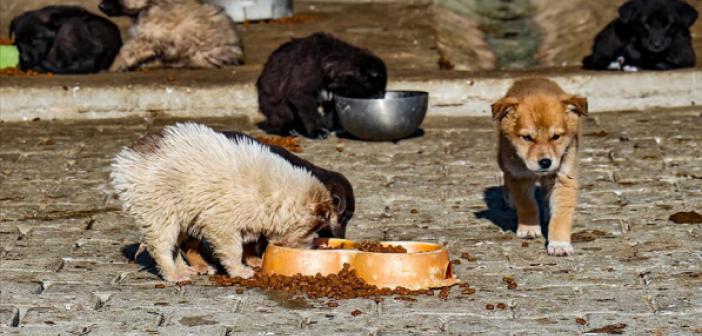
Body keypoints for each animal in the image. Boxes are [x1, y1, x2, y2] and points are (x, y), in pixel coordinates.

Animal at [97, 0, 243, 71]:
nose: (100, 6)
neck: (152, 4)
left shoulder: (150, 37)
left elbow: (126, 50)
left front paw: (114, 66)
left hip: (197, 53)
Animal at [112, 123, 338, 280]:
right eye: (311, 230)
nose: (309, 251)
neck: (275, 193)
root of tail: (125, 160)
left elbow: (249, 243)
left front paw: (253, 261)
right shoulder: (222, 224)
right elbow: (234, 249)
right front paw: (240, 270)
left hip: (181, 213)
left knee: (175, 245)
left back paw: (186, 269)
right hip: (160, 210)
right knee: (162, 247)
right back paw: (175, 275)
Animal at [258, 32, 390, 139]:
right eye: (376, 90)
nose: (380, 98)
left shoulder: (333, 96)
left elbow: (330, 114)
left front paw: (327, 126)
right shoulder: (300, 92)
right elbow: (310, 113)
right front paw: (316, 130)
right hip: (279, 108)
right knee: (280, 120)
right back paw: (288, 130)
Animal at [492, 77, 592, 256]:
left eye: (556, 136)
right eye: (527, 137)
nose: (545, 162)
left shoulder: (564, 176)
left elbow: (561, 215)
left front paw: (559, 243)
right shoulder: (520, 176)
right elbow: (527, 205)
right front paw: (529, 228)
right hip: (502, 158)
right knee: (506, 177)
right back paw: (510, 199)